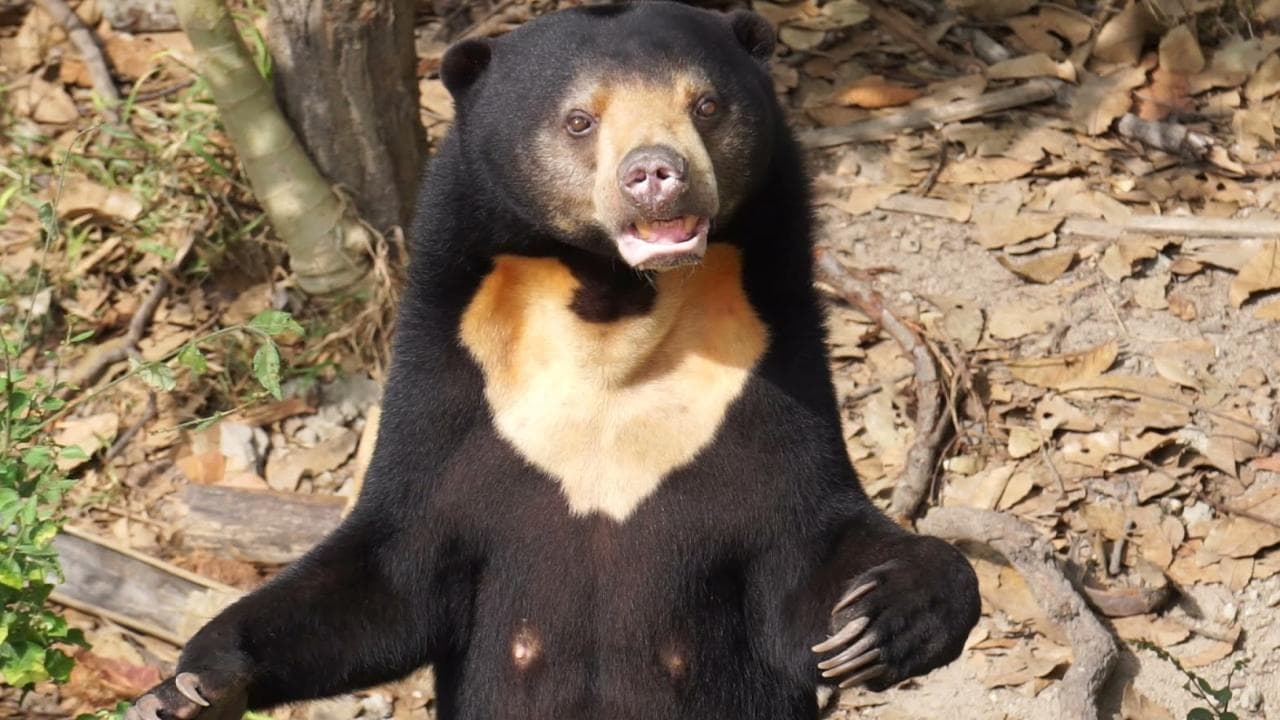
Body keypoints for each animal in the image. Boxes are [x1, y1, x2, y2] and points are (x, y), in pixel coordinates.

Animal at [127, 4, 980, 720]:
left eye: (705, 106)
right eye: (579, 120)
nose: (656, 173)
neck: (610, 310)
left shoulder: (764, 377)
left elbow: (807, 555)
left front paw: (882, 620)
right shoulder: (454, 393)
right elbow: (390, 574)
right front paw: (193, 684)